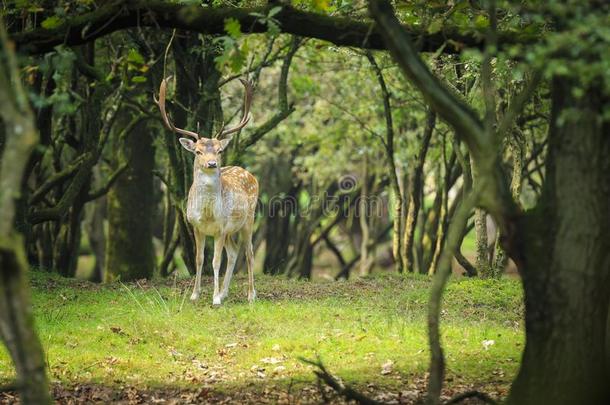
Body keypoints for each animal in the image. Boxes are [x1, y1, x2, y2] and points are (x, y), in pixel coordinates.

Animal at [156, 76, 258, 304]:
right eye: (198, 151)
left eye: (219, 150)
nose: (212, 163)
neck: (208, 214)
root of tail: (248, 173)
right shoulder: (196, 226)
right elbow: (199, 259)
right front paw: (195, 295)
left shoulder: (220, 227)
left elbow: (215, 261)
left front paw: (215, 299)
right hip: (230, 231)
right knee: (234, 251)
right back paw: (225, 291)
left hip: (248, 219)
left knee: (249, 252)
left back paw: (250, 295)